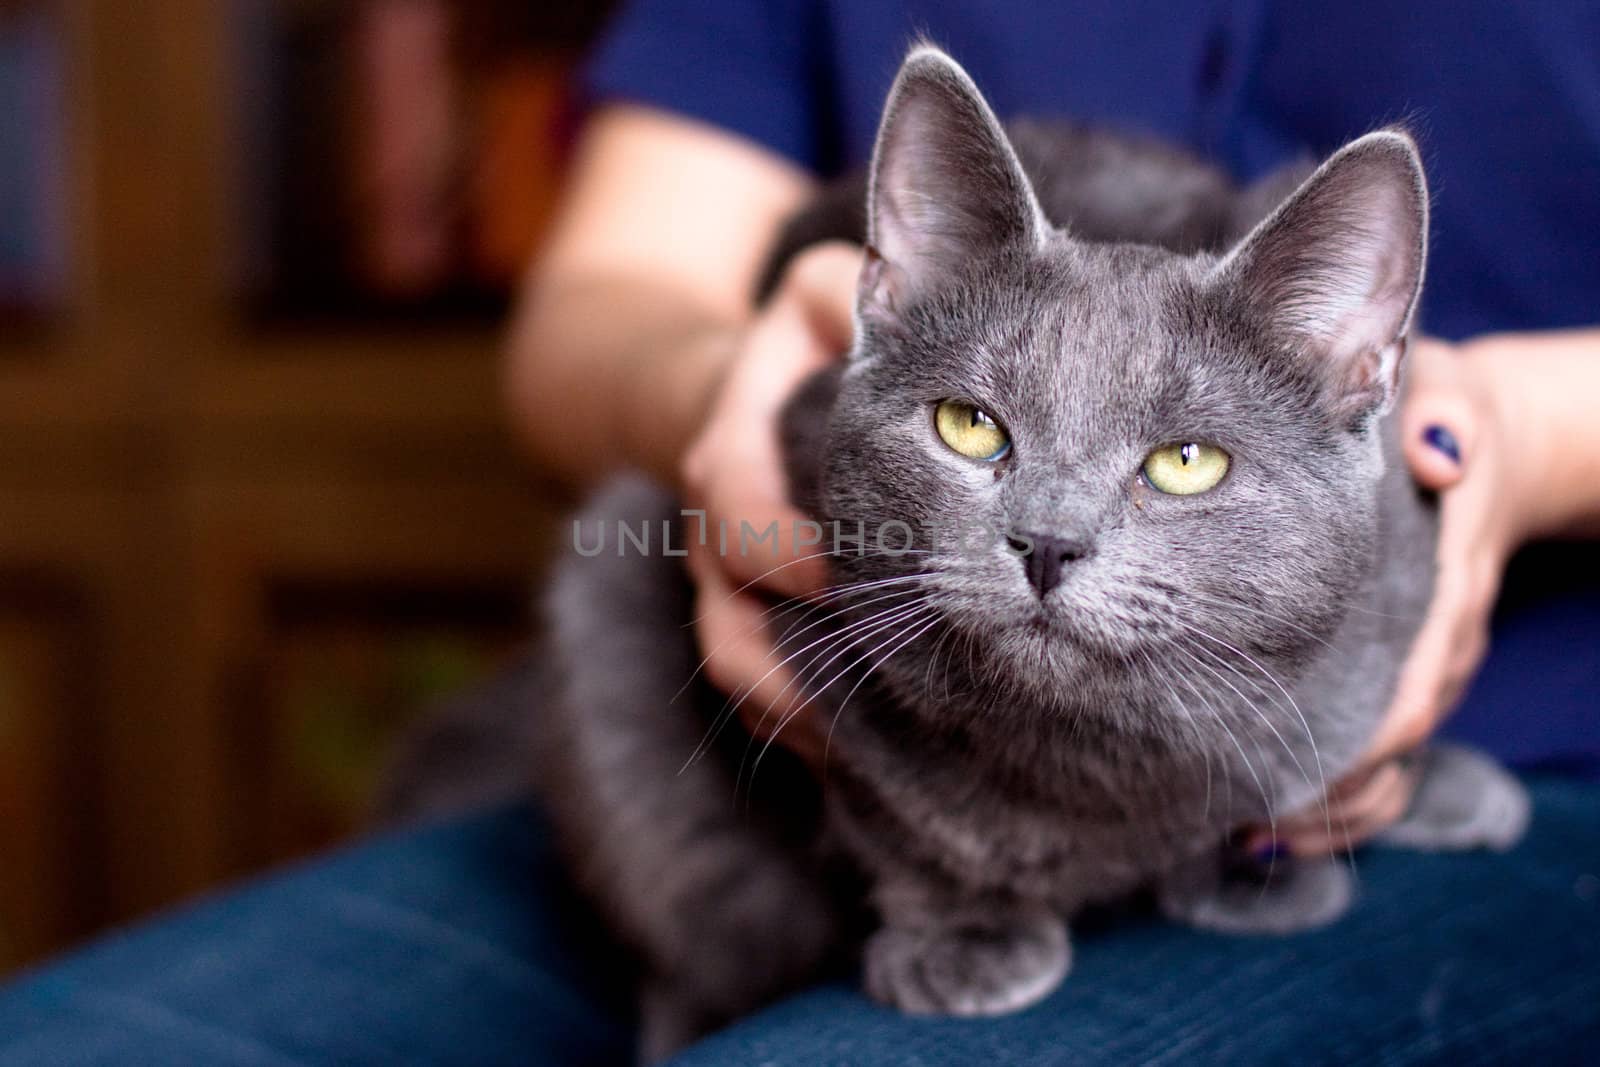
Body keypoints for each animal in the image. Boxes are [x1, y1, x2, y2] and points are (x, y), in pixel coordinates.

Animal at [528, 45, 1523, 1062]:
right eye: (968, 426)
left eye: (1187, 461)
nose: (1048, 542)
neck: (1095, 753)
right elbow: (901, 813)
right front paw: (969, 933)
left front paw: (1264, 852)